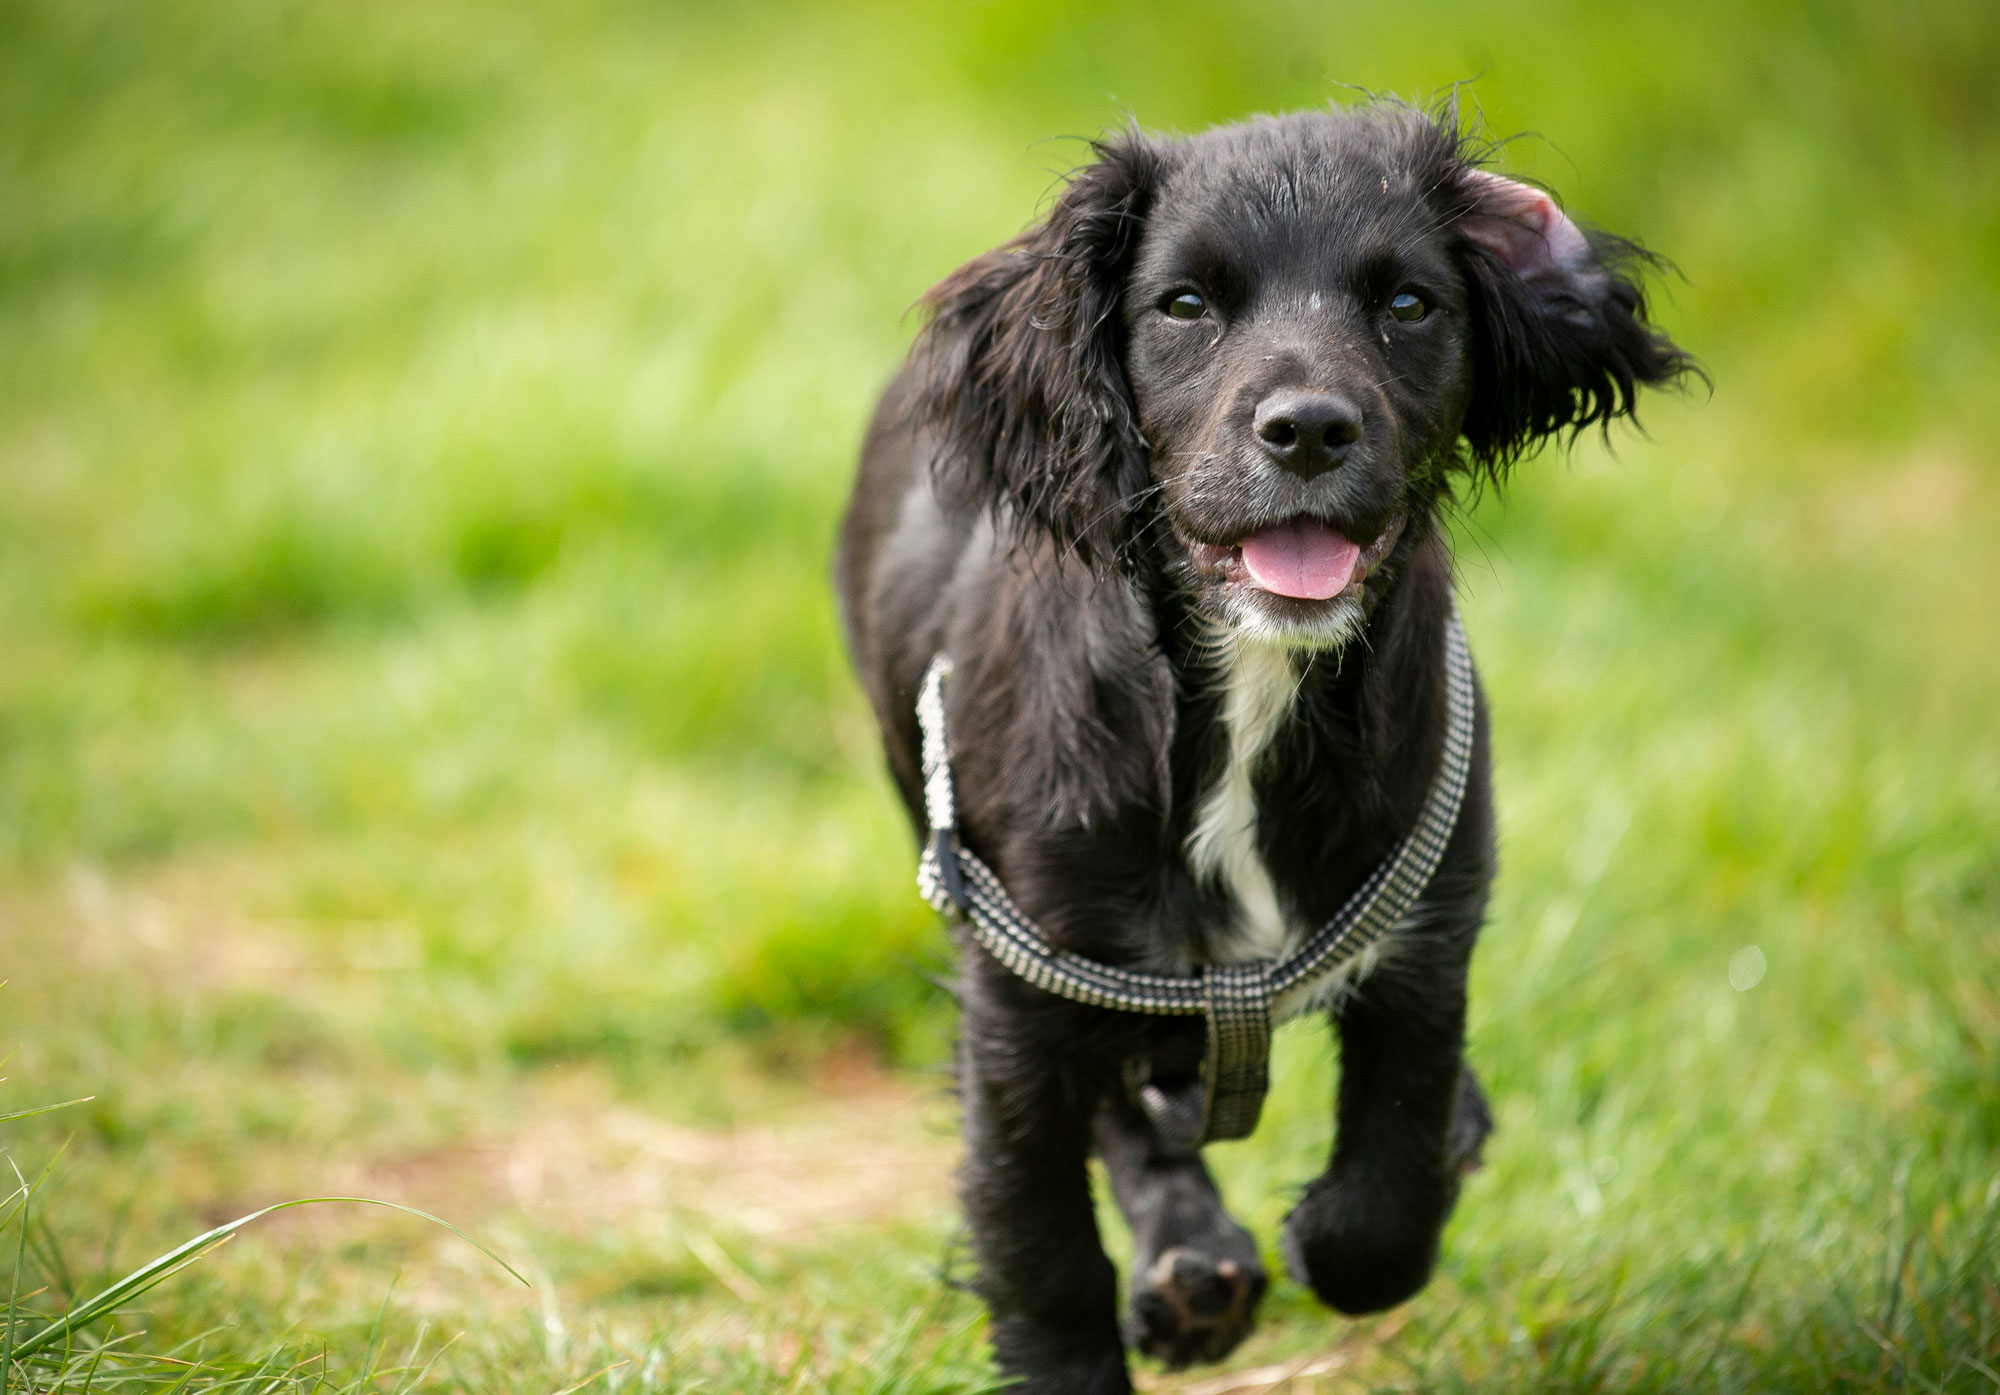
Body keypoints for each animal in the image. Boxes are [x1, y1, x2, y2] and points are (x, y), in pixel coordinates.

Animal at [836, 103, 1696, 1383]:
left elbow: (1387, 1194)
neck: (1248, 694)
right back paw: (1188, 1260)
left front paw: (1358, 1209)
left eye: (1408, 304)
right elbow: (1042, 1247)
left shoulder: (1424, 930)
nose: (1307, 431)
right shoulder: (1020, 986)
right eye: (1184, 304)